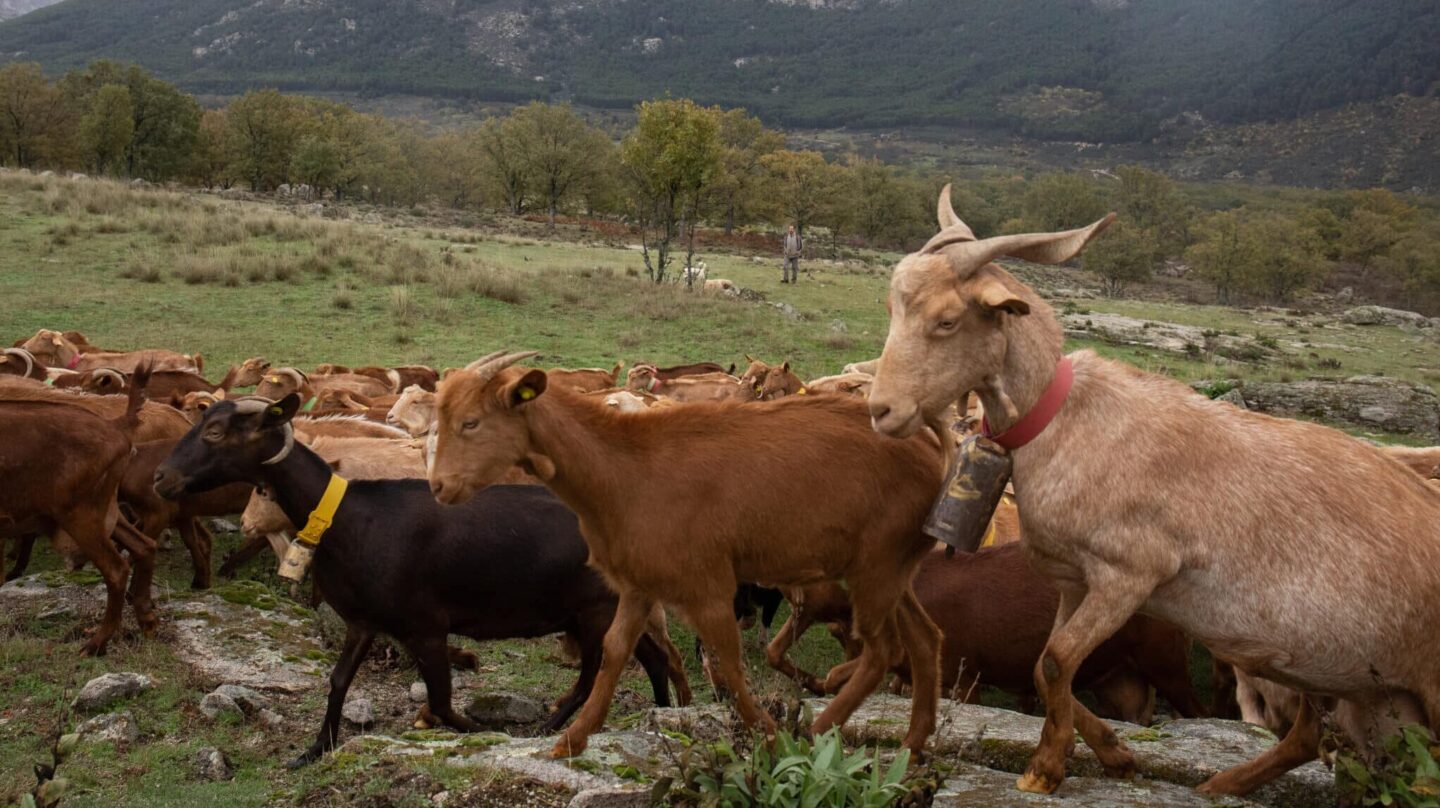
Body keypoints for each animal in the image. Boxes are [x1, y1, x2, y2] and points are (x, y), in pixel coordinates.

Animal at [154, 400, 682, 766]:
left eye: (215, 431)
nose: (161, 479)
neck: (348, 517)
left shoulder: (426, 627)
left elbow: (443, 704)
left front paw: (475, 731)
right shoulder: (364, 621)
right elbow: (338, 681)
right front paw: (314, 750)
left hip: (593, 611)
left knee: (595, 672)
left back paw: (552, 726)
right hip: (603, 611)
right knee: (648, 661)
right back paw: (661, 716)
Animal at [426, 349, 944, 760]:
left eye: (470, 422)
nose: (439, 487)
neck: (627, 468)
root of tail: (934, 456)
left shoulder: (708, 586)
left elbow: (728, 663)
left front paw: (769, 735)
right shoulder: (639, 584)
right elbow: (615, 652)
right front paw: (571, 740)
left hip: (875, 566)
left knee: (882, 650)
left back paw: (818, 728)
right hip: (891, 569)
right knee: (925, 638)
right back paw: (912, 744)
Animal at [864, 184, 1440, 795]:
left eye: (948, 320)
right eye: (893, 308)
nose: (882, 410)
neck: (1062, 420)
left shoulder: (1131, 573)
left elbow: (1057, 662)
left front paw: (1045, 769)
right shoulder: (1074, 580)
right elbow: (1048, 667)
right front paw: (1114, 754)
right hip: (1355, 688)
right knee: (1324, 741)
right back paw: (1219, 785)